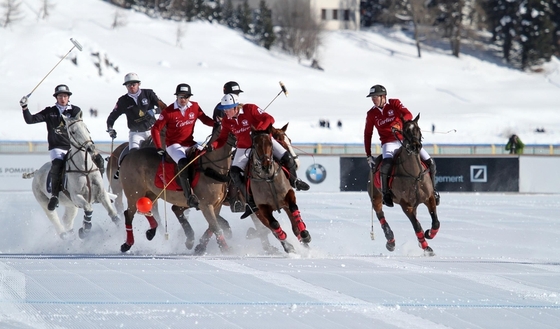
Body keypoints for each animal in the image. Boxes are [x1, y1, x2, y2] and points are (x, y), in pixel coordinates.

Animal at [119, 126, 235, 254]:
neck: (211, 167)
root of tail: (128, 155)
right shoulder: (206, 205)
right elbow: (216, 227)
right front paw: (227, 250)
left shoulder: (217, 205)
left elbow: (213, 226)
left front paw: (200, 245)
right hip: (133, 193)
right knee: (129, 214)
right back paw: (127, 244)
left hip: (151, 192)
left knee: (145, 208)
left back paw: (151, 231)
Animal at [248, 124, 310, 252]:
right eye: (255, 145)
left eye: (271, 143)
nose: (297, 163)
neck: (269, 178)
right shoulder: (261, 207)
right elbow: (274, 224)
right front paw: (286, 243)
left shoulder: (288, 195)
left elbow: (294, 209)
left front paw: (305, 235)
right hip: (256, 212)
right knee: (270, 229)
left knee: (294, 226)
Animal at [368, 114, 442, 255]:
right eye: (405, 130)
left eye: (418, 129)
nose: (415, 146)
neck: (415, 175)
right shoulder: (405, 205)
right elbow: (416, 225)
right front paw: (427, 247)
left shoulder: (429, 198)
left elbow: (435, 222)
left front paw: (428, 234)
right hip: (376, 198)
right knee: (380, 215)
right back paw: (390, 241)